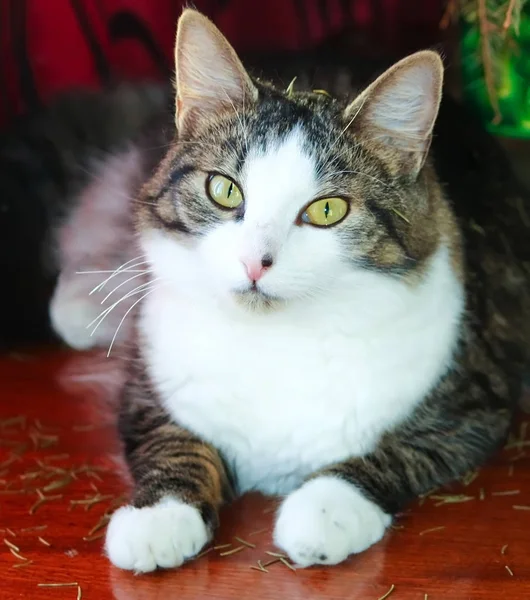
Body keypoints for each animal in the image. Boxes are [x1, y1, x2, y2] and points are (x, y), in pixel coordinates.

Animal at [43, 9, 524, 572]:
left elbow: (395, 453)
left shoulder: (471, 405)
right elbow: (175, 445)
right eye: (224, 190)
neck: (273, 340)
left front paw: (325, 510)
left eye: (327, 210)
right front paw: (158, 516)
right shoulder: (148, 394)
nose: (256, 262)